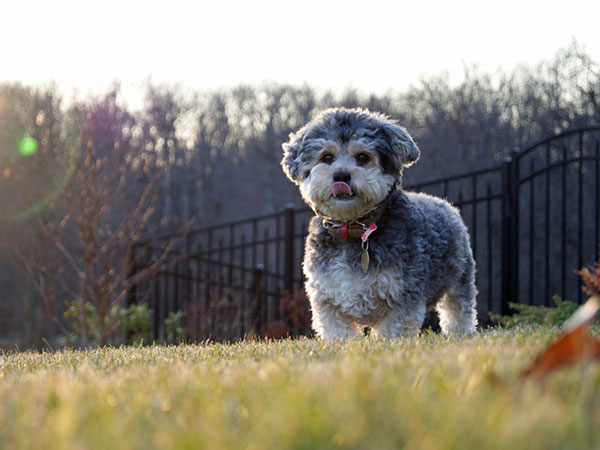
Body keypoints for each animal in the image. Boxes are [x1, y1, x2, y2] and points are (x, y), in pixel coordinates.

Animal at [282, 107, 478, 338]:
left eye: (363, 157)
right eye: (327, 157)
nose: (341, 176)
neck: (355, 229)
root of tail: (446, 204)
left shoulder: (403, 296)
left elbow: (394, 331)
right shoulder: (328, 299)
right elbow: (338, 332)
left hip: (460, 279)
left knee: (458, 311)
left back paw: (460, 333)